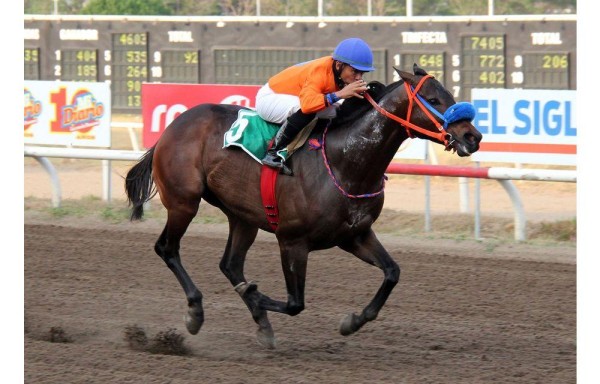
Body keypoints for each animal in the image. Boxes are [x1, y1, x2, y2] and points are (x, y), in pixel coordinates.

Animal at [125, 63, 482, 348]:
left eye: (449, 95)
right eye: (434, 100)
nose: (473, 137)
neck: (344, 161)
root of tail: (173, 127)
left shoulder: (355, 235)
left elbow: (392, 273)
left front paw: (352, 322)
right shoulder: (292, 241)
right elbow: (296, 303)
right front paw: (256, 297)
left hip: (242, 216)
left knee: (230, 265)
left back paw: (258, 319)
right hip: (184, 202)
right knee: (167, 248)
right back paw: (196, 312)